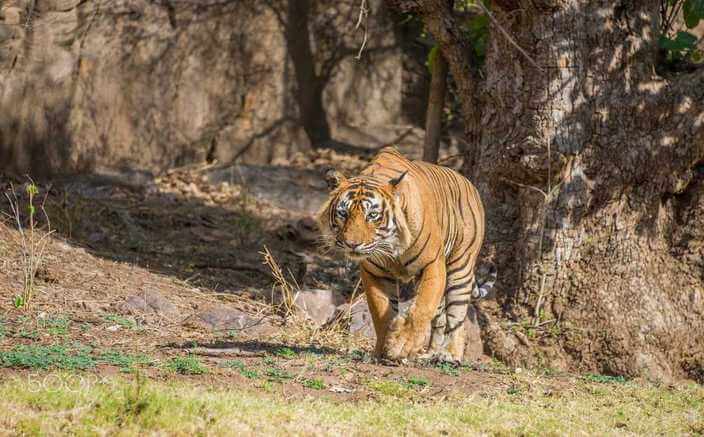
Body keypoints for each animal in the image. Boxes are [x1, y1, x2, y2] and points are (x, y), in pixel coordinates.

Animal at [320, 146, 496, 362]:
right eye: (343, 214)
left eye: (372, 215)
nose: (352, 244)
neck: (390, 245)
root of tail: (468, 183)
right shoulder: (374, 273)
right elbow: (381, 312)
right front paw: (382, 350)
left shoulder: (432, 264)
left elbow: (422, 308)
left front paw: (402, 345)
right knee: (440, 318)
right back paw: (430, 353)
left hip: (460, 268)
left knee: (457, 317)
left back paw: (450, 354)